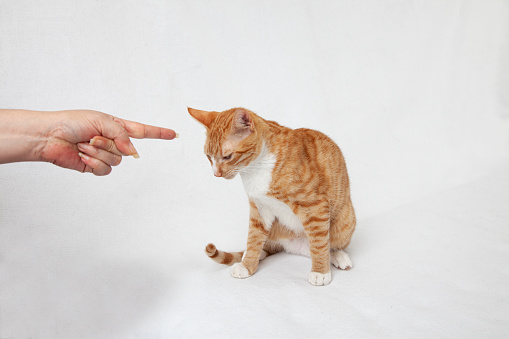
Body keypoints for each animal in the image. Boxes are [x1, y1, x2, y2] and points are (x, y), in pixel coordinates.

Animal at [189, 107, 356, 286]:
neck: (256, 168)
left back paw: (338, 256)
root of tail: (294, 246)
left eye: (227, 156)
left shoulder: (316, 206)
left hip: (345, 222)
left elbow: (319, 243)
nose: (216, 174)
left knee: (326, 245)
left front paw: (320, 272)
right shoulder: (259, 209)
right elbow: (253, 239)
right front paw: (247, 264)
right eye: (208, 156)